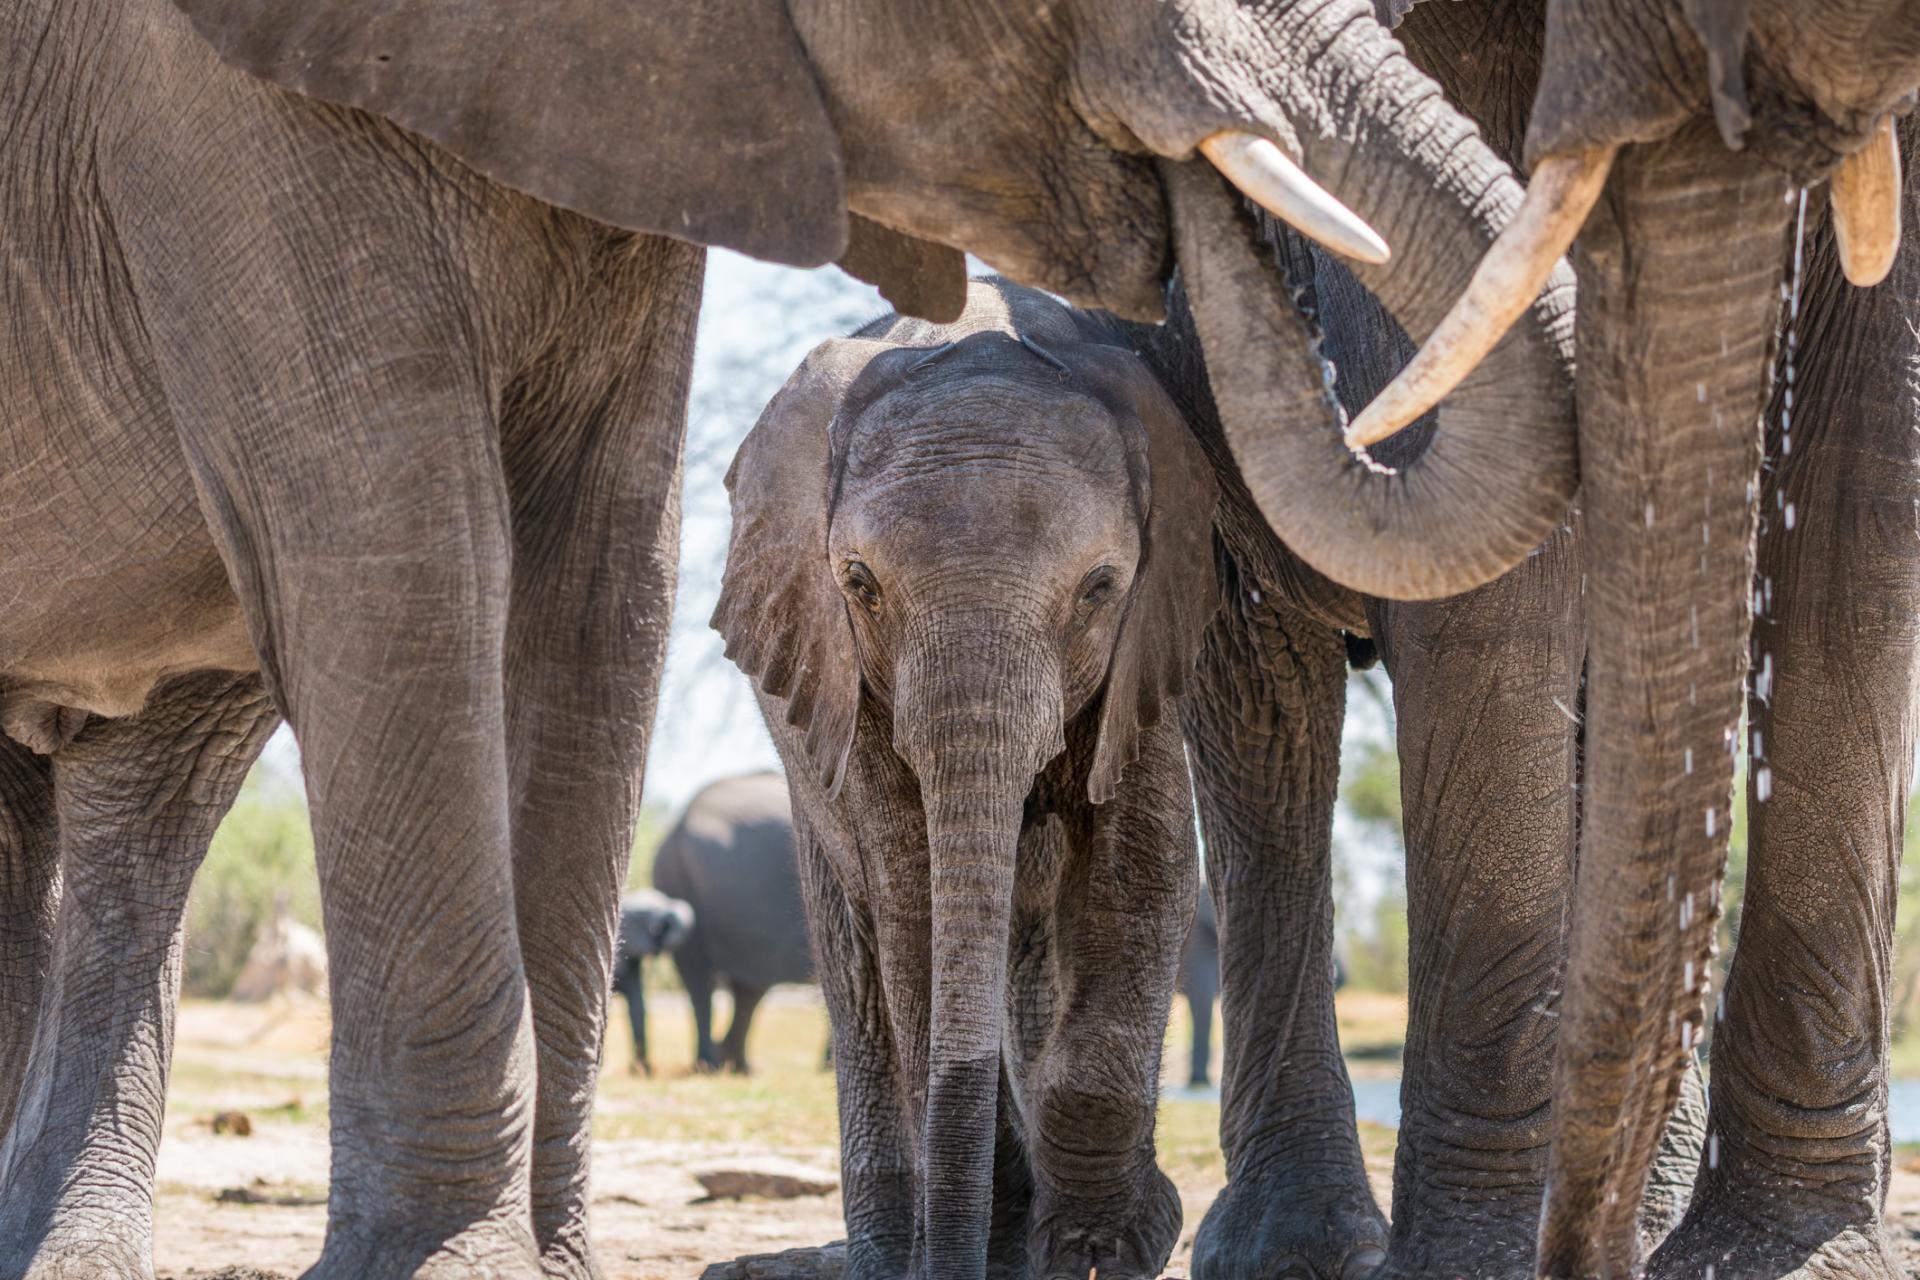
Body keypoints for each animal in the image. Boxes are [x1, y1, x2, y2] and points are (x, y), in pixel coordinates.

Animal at [714, 280, 1221, 1280]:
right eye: (859, 584)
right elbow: (913, 905)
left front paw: (1102, 1248)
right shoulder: (846, 673)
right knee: (860, 958)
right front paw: (1010, 1238)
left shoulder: (1147, 650)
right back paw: (888, 1252)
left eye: (1101, 587)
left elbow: (1138, 875)